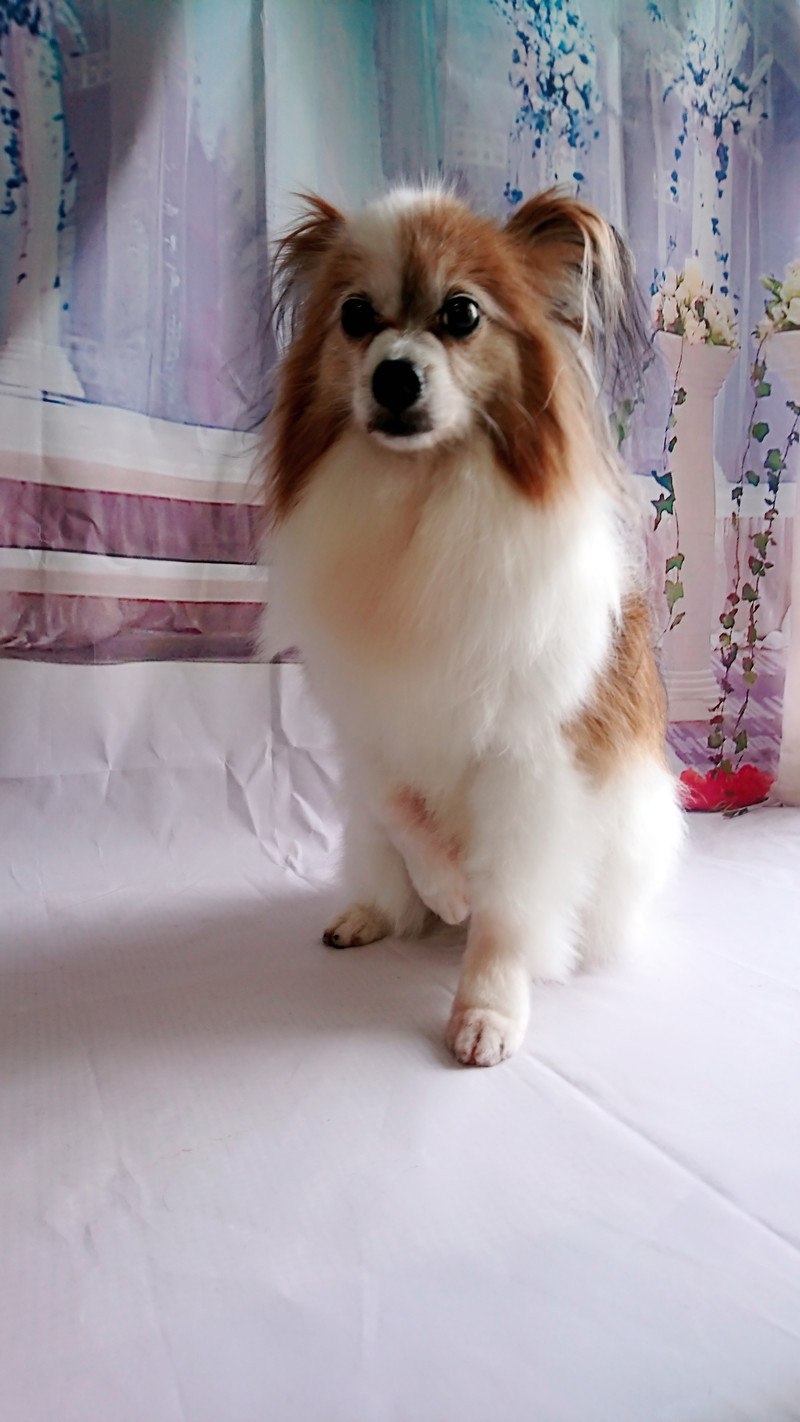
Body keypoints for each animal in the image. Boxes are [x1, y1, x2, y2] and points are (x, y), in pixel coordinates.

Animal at [261, 184, 683, 1067]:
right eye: (355, 316)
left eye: (461, 314)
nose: (393, 373)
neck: (420, 501)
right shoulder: (366, 722)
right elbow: (402, 812)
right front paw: (444, 887)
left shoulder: (530, 761)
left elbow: (504, 905)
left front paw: (488, 1006)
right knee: (384, 871)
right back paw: (377, 915)